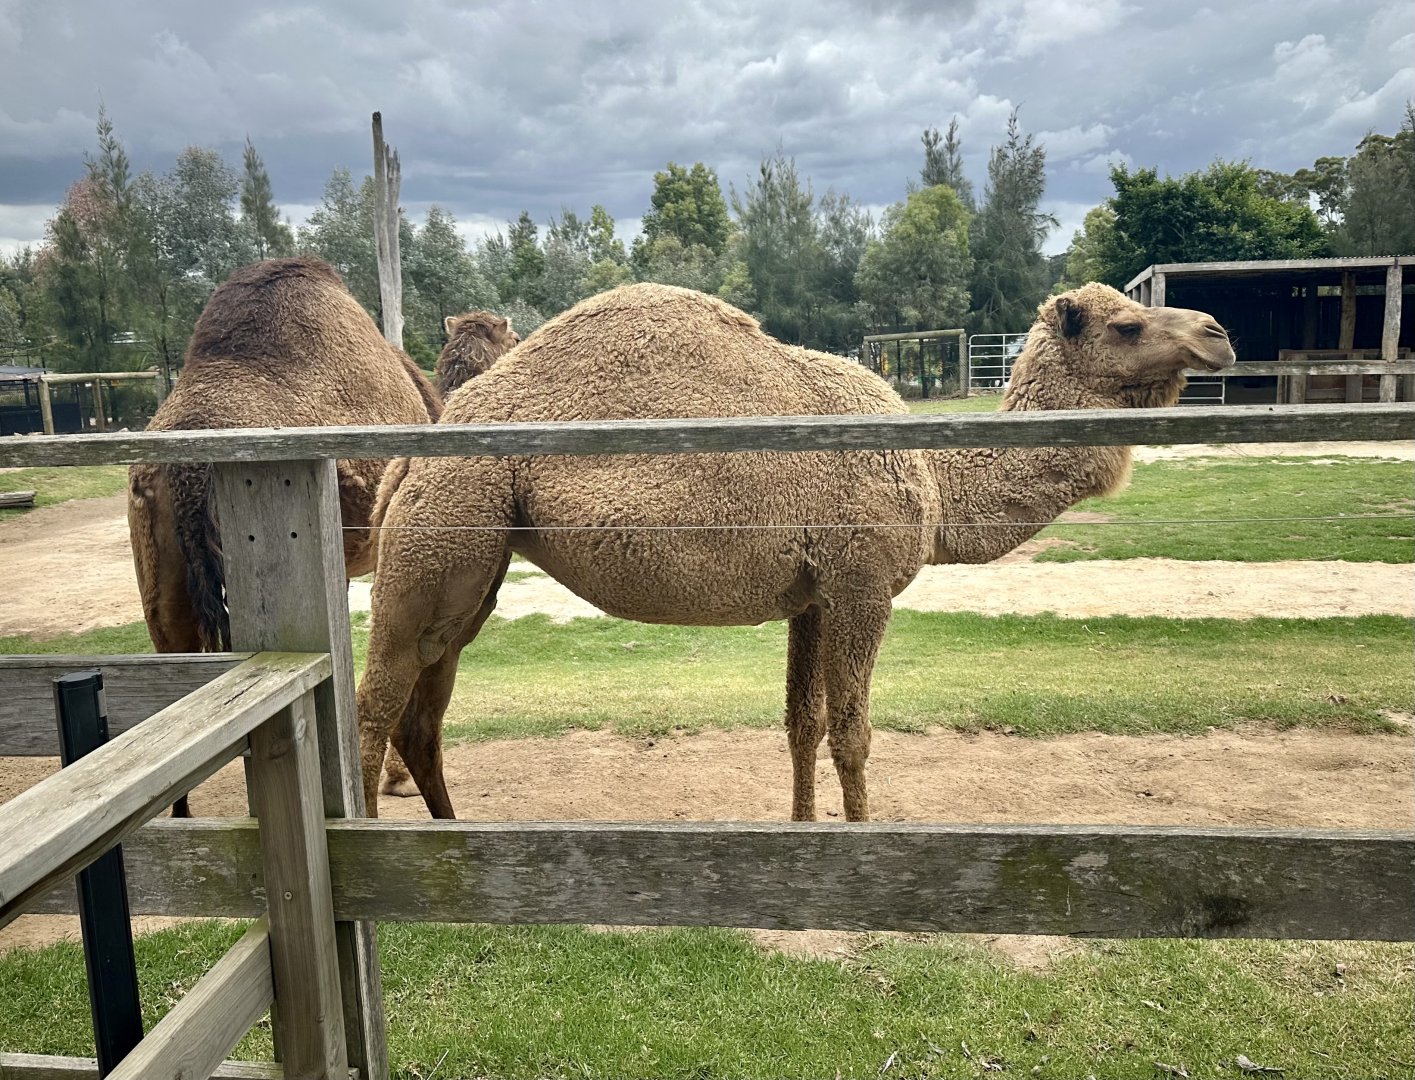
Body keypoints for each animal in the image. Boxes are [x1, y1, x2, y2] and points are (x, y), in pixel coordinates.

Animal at [356, 281, 1235, 821]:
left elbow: (801, 723)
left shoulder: (812, 595)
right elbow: (853, 730)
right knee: (379, 698)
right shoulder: (861, 585)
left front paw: (803, 830)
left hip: (474, 562)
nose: (1219, 333)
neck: (933, 477)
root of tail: (421, 444)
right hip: (451, 520)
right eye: (1126, 323)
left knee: (424, 706)